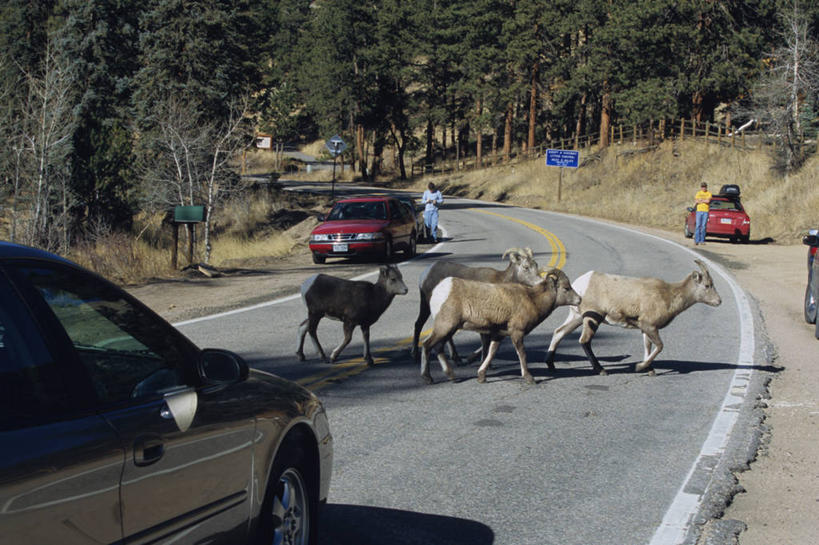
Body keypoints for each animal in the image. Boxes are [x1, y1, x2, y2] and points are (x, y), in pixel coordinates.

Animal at [422, 266, 584, 382]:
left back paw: (451, 376)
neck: (533, 300)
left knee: (438, 347)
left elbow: (491, 353)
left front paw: (481, 376)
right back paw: (428, 378)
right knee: (427, 345)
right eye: (566, 288)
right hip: (445, 327)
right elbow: (522, 354)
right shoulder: (517, 333)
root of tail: (440, 290)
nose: (579, 300)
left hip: (448, 329)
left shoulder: (498, 335)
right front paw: (529, 378)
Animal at [548, 260, 720, 374]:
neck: (668, 295)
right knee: (584, 341)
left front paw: (649, 370)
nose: (719, 301)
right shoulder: (650, 326)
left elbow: (647, 346)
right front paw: (640, 367)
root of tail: (581, 284)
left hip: (577, 317)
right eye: (707, 285)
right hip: (593, 318)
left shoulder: (645, 329)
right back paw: (601, 370)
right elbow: (659, 346)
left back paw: (551, 365)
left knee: (559, 332)